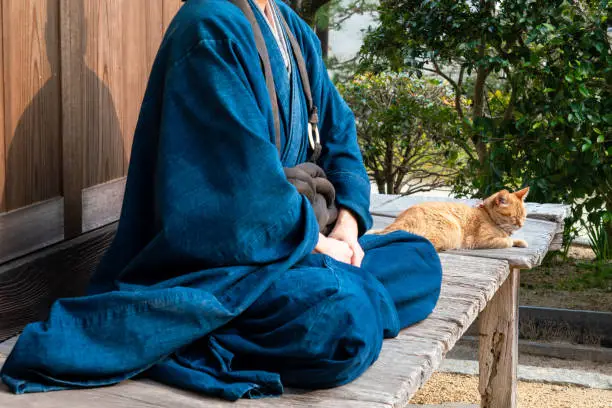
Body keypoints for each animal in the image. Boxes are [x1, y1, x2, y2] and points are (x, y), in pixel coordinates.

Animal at [380, 189, 528, 252]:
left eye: (523, 216)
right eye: (514, 217)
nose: (521, 224)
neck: (488, 216)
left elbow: (512, 239)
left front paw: (520, 241)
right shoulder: (482, 240)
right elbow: (507, 241)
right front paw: (511, 240)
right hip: (451, 227)